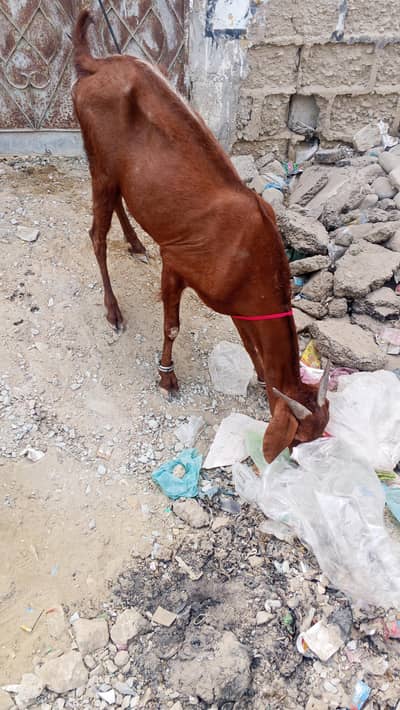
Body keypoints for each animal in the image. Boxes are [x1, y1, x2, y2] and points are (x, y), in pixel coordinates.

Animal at [72, 10, 329, 463]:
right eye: (297, 441)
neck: (250, 256)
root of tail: (99, 64)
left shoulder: (242, 304)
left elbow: (248, 342)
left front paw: (261, 378)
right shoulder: (176, 262)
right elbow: (172, 326)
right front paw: (167, 379)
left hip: (116, 170)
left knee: (119, 202)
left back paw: (135, 244)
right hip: (97, 157)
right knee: (96, 236)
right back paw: (113, 311)